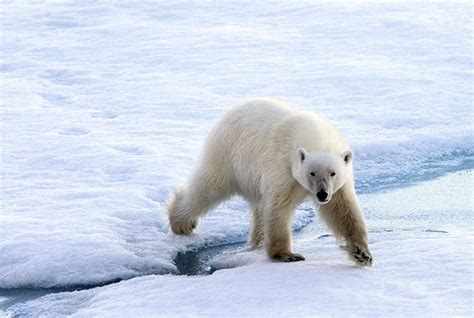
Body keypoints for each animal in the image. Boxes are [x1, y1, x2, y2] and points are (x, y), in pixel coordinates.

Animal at [168, 97, 372, 266]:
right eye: (312, 173)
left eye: (333, 173)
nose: (322, 194)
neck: (312, 134)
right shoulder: (282, 167)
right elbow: (278, 207)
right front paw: (286, 255)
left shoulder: (339, 184)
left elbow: (343, 209)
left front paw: (362, 253)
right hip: (227, 155)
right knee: (207, 188)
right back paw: (181, 223)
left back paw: (256, 243)